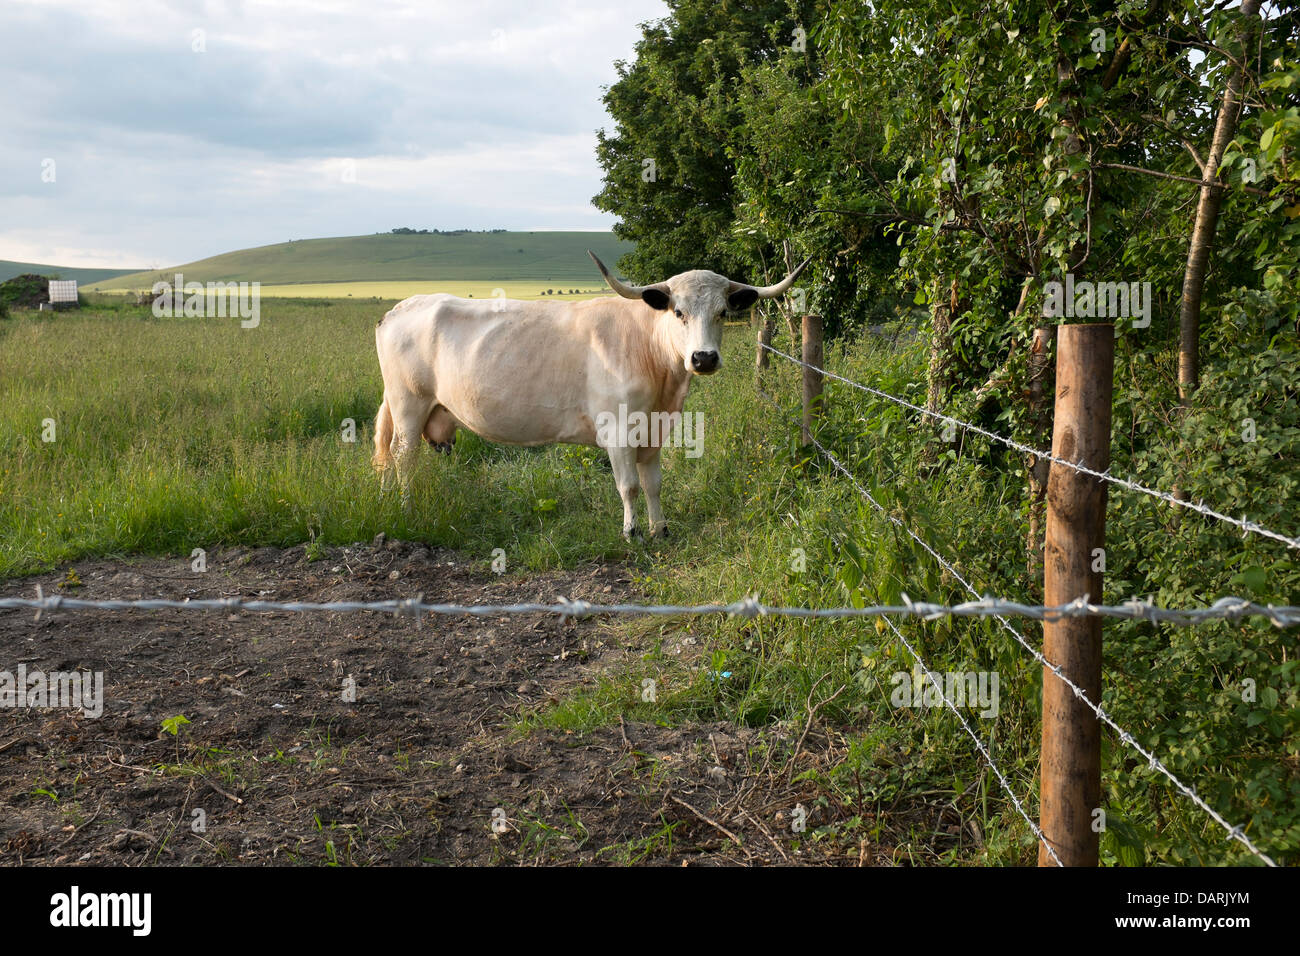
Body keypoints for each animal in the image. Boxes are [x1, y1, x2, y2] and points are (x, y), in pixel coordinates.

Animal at [371, 252, 806, 538]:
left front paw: (660, 528)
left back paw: (386, 500)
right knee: (402, 456)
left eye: (722, 313)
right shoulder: (618, 430)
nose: (703, 358)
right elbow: (628, 485)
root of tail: (399, 309)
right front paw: (632, 532)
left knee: (390, 456)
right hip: (408, 403)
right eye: (678, 312)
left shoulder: (653, 432)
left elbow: (653, 483)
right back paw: (405, 507)